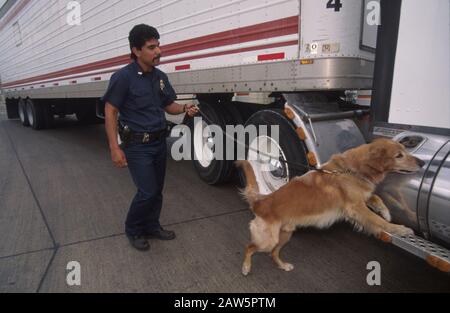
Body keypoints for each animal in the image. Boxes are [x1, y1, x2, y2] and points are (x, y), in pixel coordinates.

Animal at [237, 138, 424, 274]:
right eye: (399, 155)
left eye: (405, 151)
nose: (422, 163)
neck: (352, 169)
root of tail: (260, 202)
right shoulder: (356, 207)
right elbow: (378, 222)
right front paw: (399, 228)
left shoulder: (361, 198)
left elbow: (376, 197)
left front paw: (385, 212)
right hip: (267, 240)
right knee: (250, 247)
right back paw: (246, 267)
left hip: (284, 235)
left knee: (273, 253)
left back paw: (283, 266)